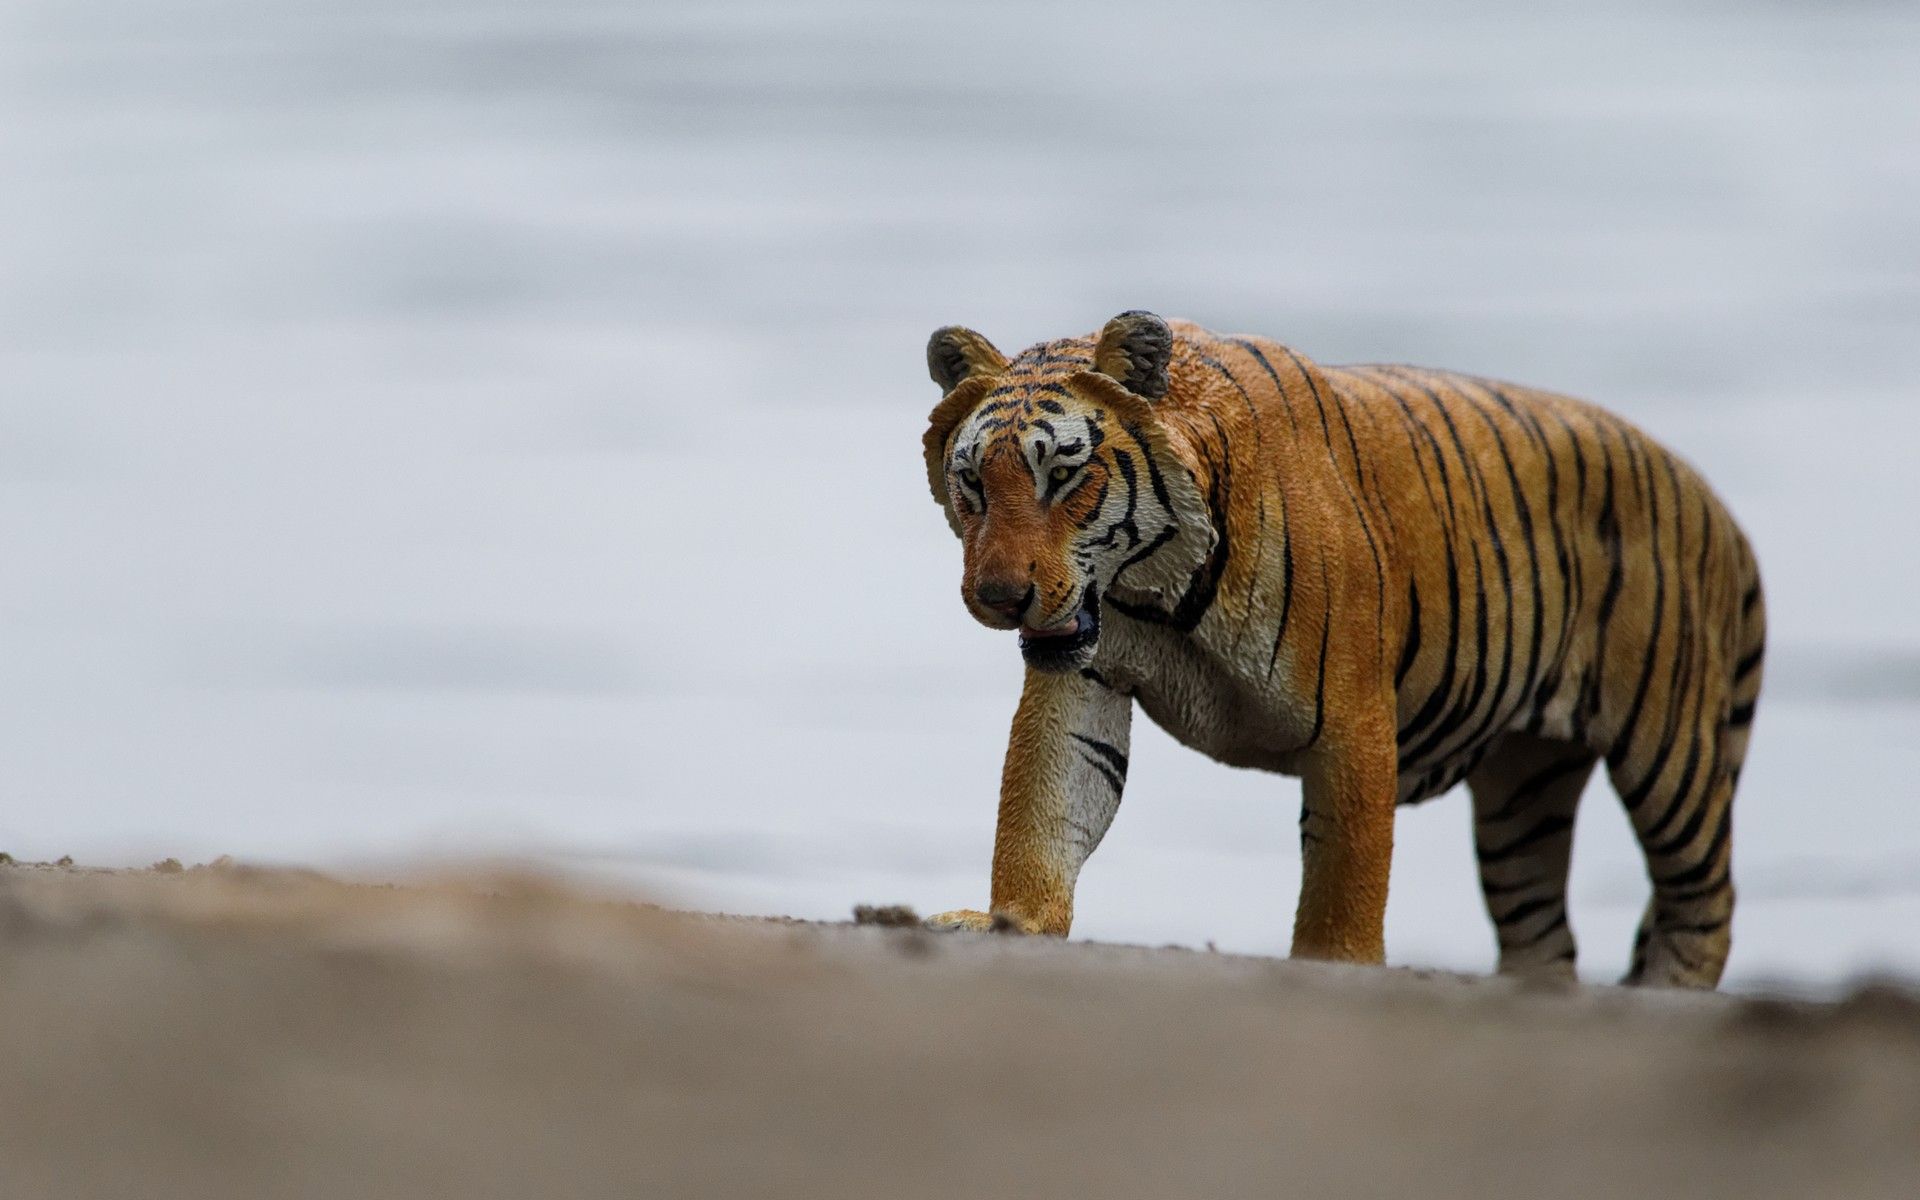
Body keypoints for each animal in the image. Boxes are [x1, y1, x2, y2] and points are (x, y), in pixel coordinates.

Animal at [921, 312, 1758, 990]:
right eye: (973, 482)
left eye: (1064, 475)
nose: (999, 597)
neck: (1159, 589)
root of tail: (1716, 506)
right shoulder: (1085, 673)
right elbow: (1047, 798)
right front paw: (1014, 921)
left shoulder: (1354, 721)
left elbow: (1346, 863)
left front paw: (1336, 963)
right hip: (1525, 791)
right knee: (1542, 930)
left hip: (1672, 753)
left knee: (1706, 897)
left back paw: (1671, 993)